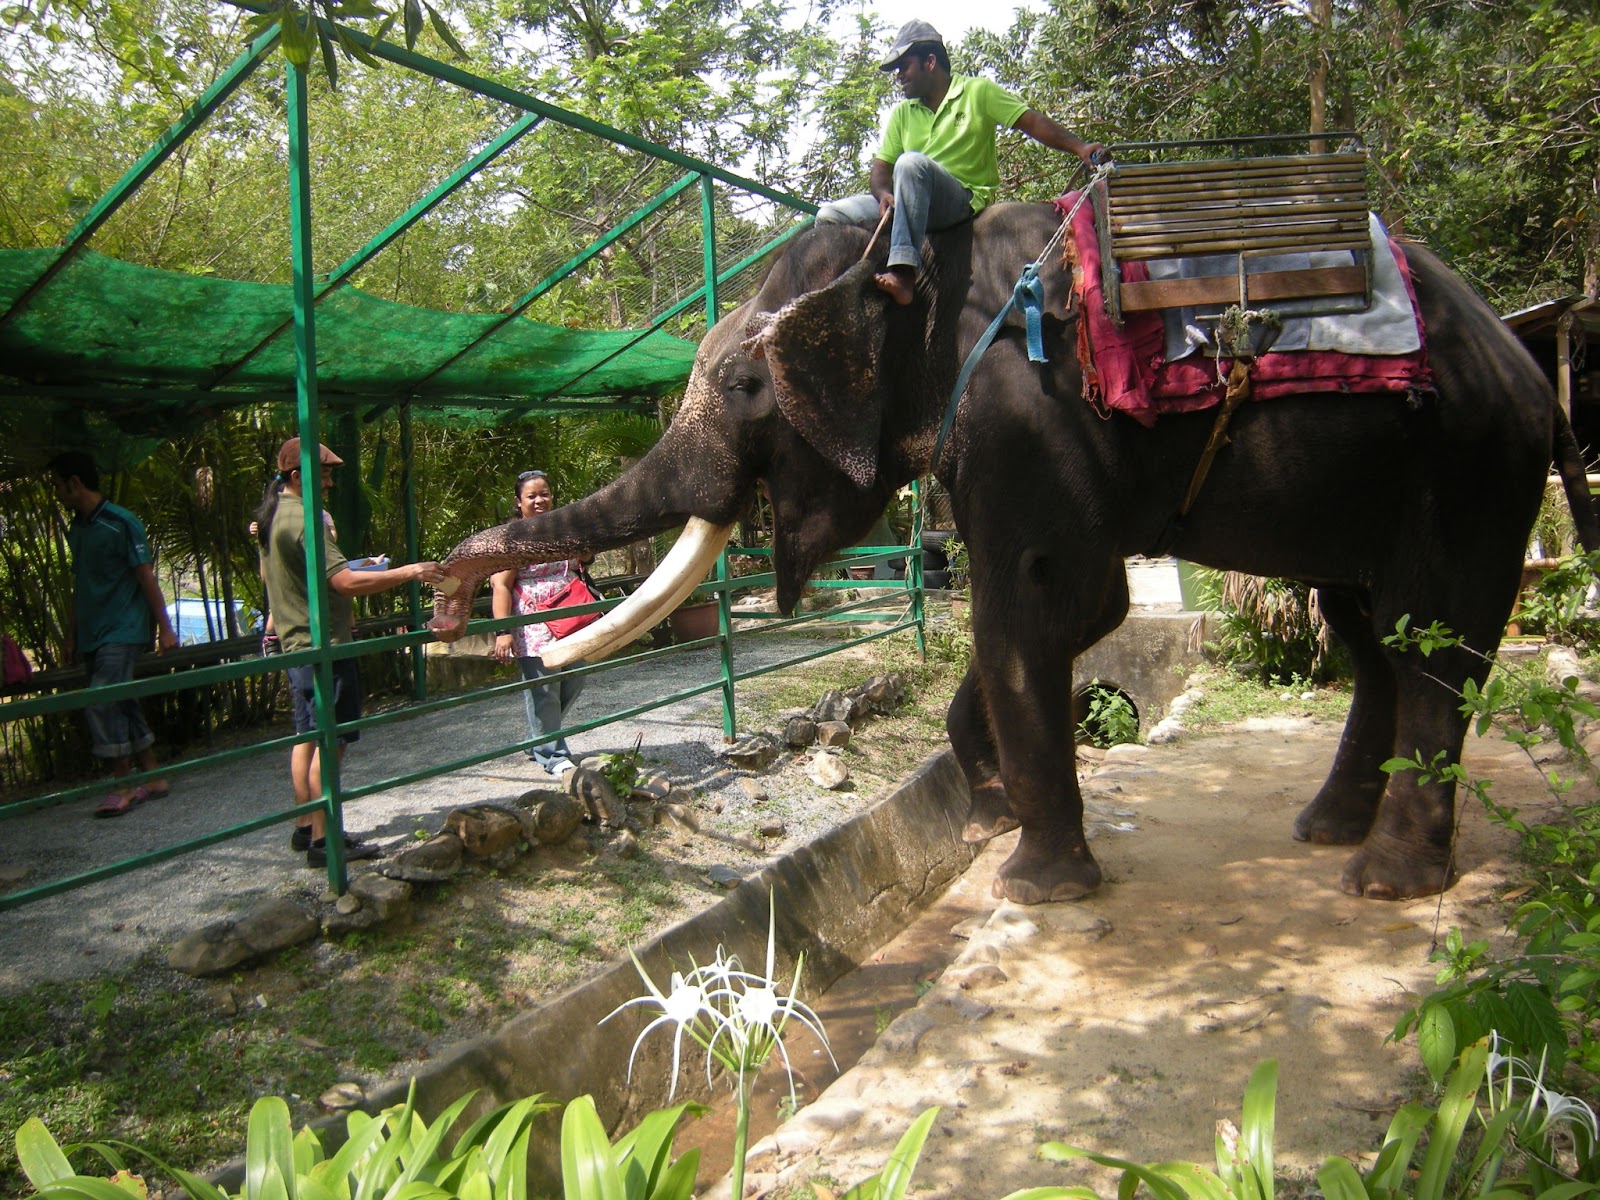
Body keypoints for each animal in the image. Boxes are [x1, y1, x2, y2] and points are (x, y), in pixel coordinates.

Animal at [430, 198, 1599, 905]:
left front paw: (1036, 884)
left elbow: (1040, 608)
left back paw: (1385, 880)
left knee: (1430, 639)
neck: (905, 272)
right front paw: (989, 818)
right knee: (1366, 633)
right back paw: (1326, 831)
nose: (443, 604)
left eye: (745, 386)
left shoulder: (1024, 421)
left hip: (1467, 463)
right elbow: (1052, 622)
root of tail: (1527, 359)